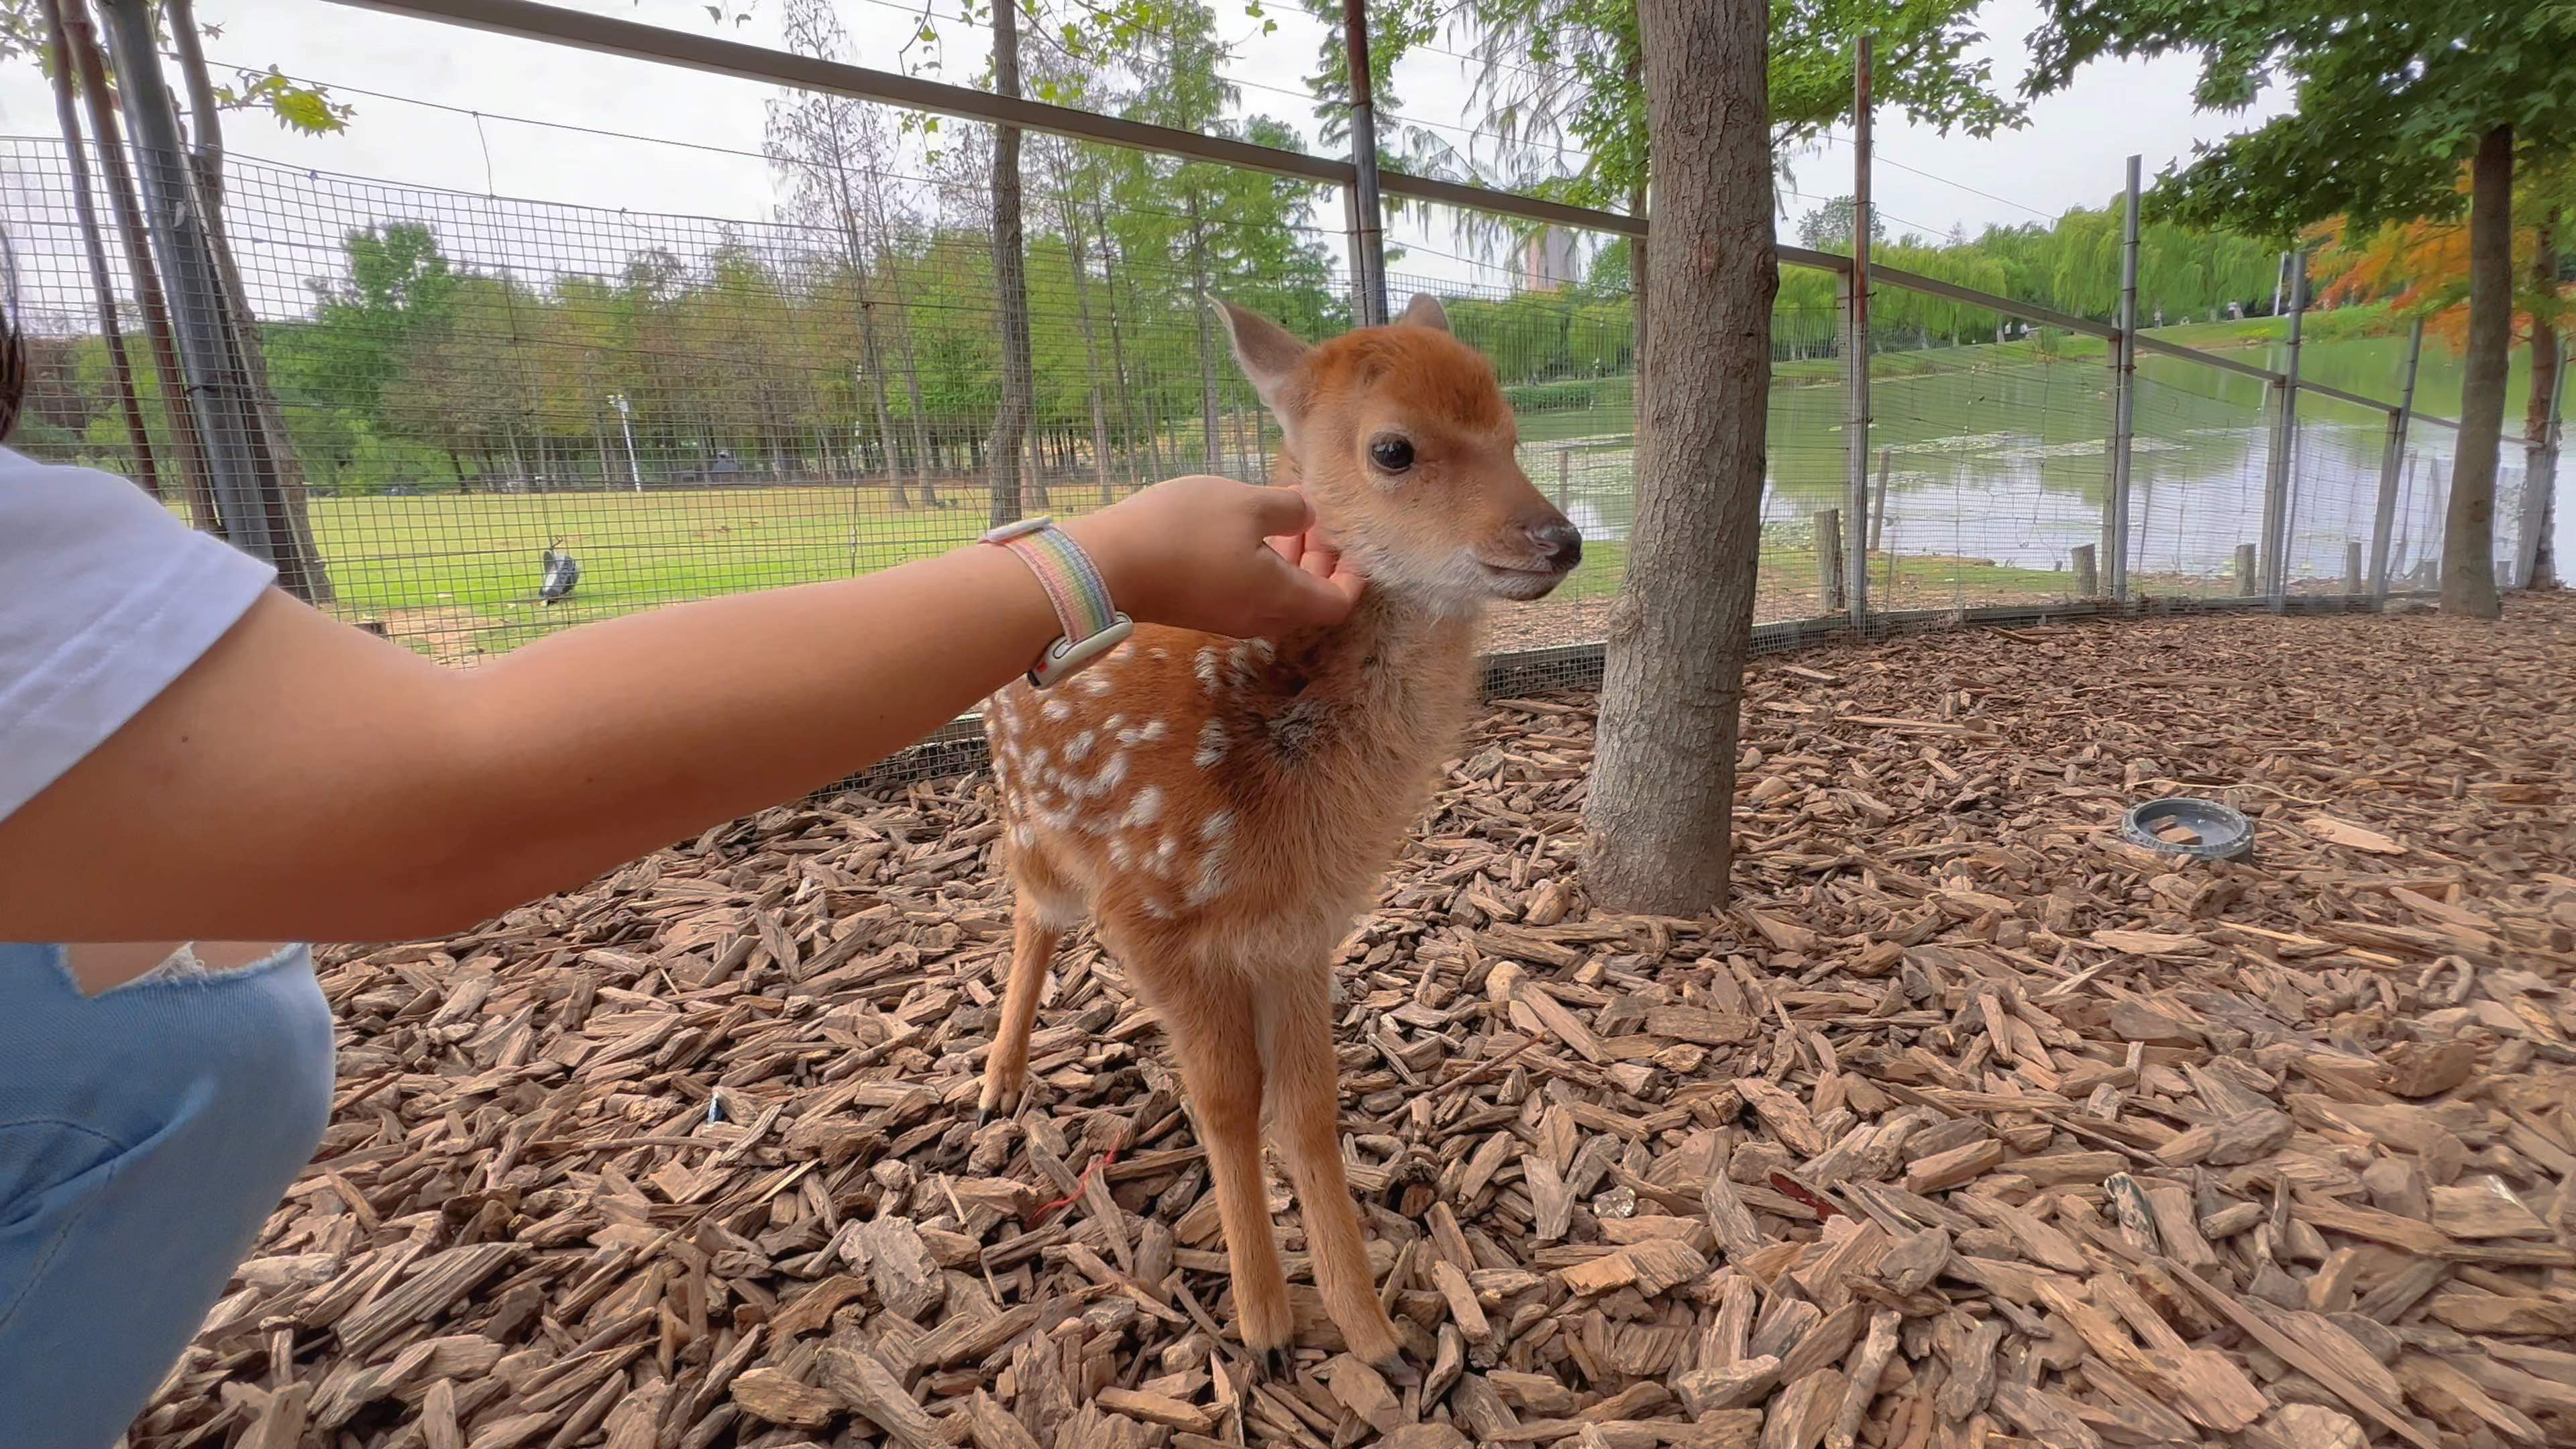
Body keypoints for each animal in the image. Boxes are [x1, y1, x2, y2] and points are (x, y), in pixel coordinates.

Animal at [973, 296, 1576, 1361]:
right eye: (1393, 448)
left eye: (1511, 432)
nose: (1562, 540)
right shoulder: (1153, 912)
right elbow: (1225, 1102)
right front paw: (1261, 1324)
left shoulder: (1299, 934)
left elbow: (1306, 1110)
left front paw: (1367, 1325)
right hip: (1035, 823)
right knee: (1030, 912)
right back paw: (997, 1083)